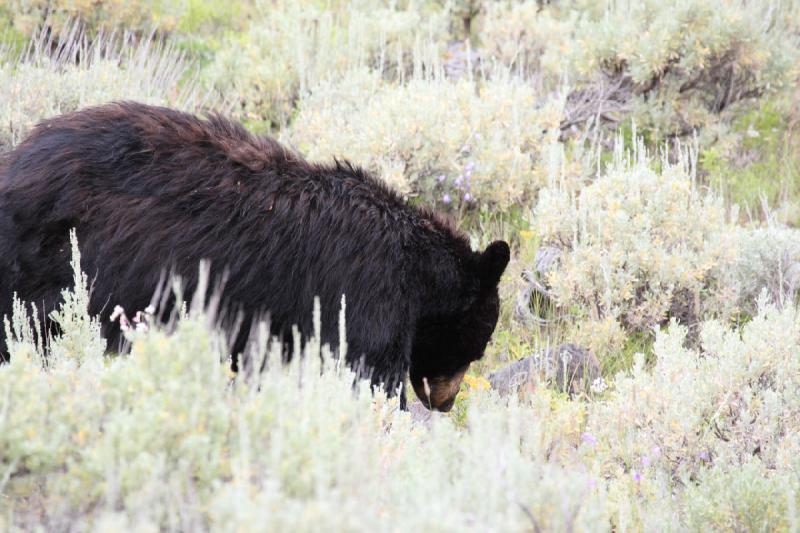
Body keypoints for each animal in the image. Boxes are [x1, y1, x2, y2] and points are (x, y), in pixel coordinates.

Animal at [0, 102, 510, 410]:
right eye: (479, 345)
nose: (445, 402)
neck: (419, 275)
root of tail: (16, 162)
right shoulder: (367, 296)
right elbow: (367, 372)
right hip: (48, 264)